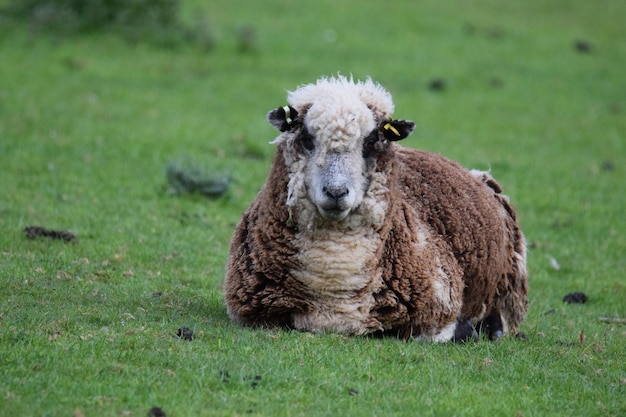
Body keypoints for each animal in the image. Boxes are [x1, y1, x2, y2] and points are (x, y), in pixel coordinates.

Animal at [222, 75, 524, 342]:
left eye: (371, 142)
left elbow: (429, 334)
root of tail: (478, 175)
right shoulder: (249, 311)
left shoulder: (440, 303)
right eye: (307, 138)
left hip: (508, 283)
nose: (336, 192)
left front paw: (468, 331)